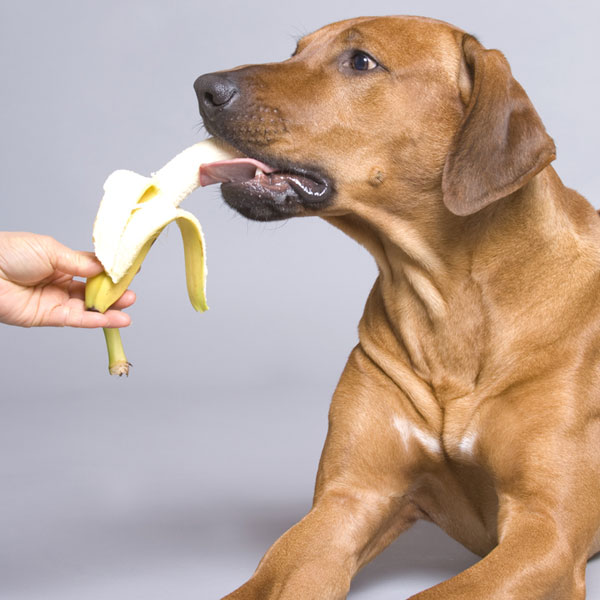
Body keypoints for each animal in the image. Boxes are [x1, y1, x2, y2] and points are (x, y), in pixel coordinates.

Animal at [193, 14, 600, 600]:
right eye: (294, 52)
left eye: (361, 61)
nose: (204, 87)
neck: (448, 299)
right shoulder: (350, 499)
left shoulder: (548, 533)